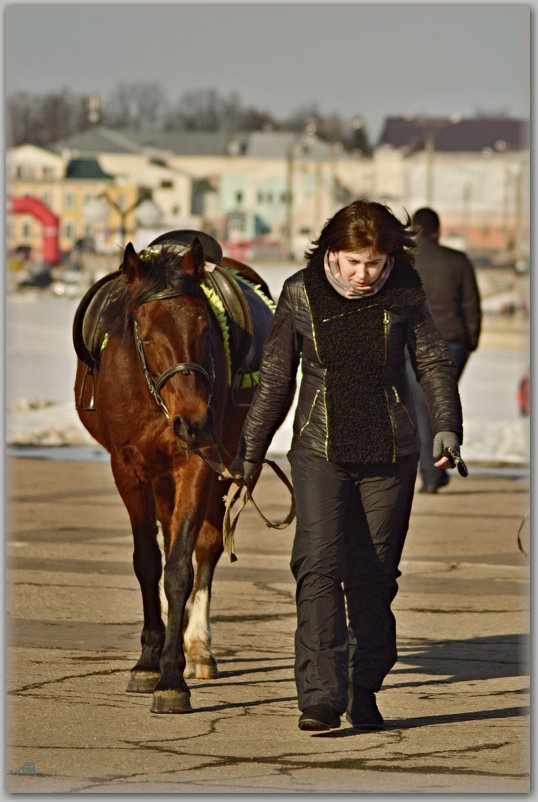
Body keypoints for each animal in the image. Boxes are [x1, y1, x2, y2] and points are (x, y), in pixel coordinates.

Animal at [74, 233, 282, 712]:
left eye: (206, 330)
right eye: (147, 336)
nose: (194, 421)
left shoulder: (199, 463)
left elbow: (181, 567)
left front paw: (171, 675)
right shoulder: (128, 468)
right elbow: (149, 562)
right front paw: (149, 660)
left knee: (204, 546)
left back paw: (197, 646)